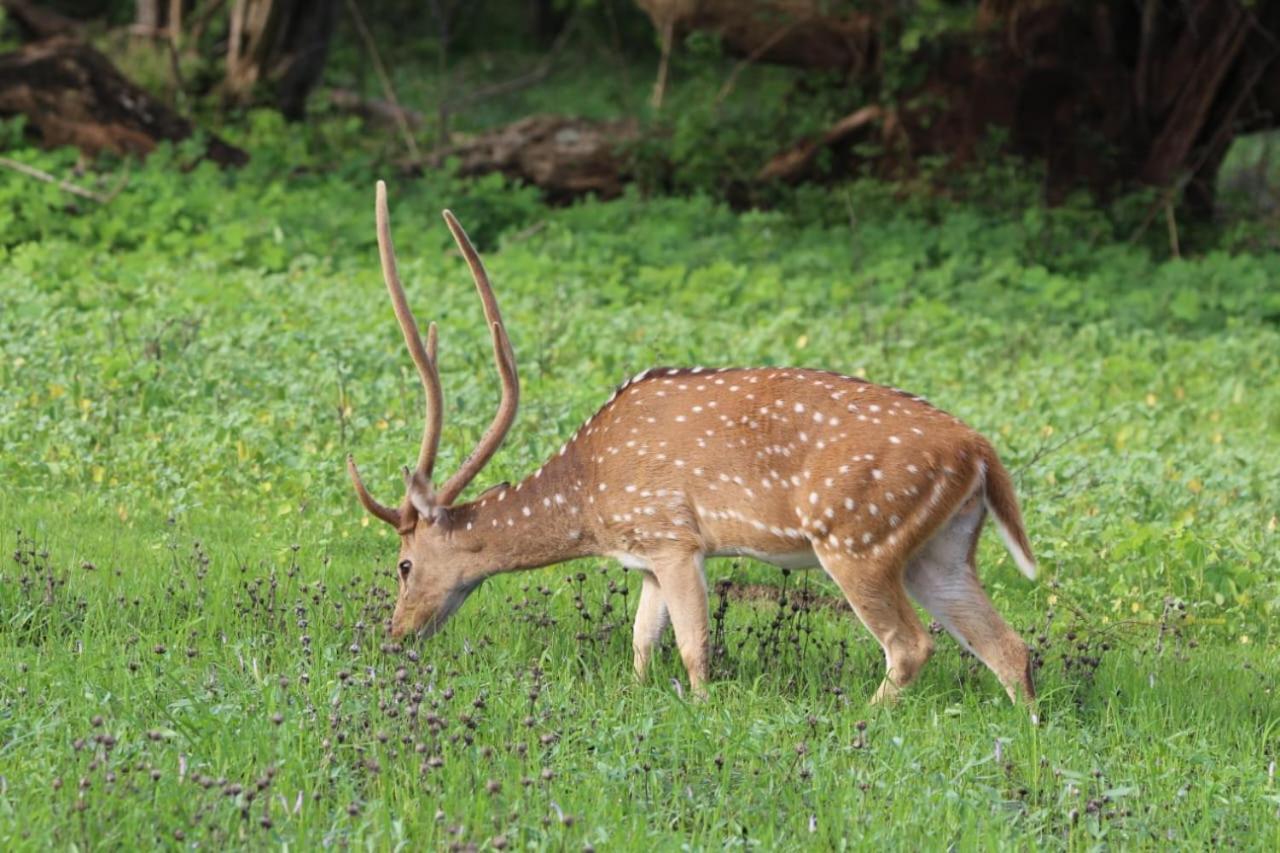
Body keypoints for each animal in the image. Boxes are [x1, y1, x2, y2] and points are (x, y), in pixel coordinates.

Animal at [350, 180, 1039, 701]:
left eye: (403, 563)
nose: (395, 635)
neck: (590, 499)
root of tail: (980, 451)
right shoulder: (648, 558)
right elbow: (640, 639)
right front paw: (636, 693)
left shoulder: (674, 536)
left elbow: (693, 646)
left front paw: (704, 709)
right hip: (941, 548)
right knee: (1008, 646)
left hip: (858, 535)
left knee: (911, 644)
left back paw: (862, 722)